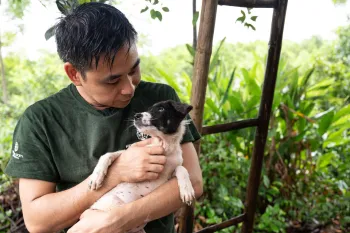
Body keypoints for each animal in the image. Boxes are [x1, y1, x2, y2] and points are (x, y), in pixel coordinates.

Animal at [87, 99, 196, 232]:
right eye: (149, 109)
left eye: (161, 109)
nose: (136, 116)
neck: (163, 145)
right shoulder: (128, 153)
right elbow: (107, 155)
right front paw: (96, 178)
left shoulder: (170, 174)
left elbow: (182, 168)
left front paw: (187, 190)